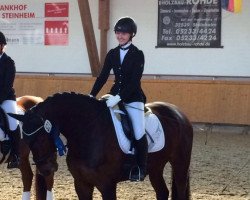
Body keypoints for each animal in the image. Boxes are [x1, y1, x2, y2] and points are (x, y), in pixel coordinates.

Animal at [9, 92, 193, 200]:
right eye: (26, 140)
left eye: (40, 138)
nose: (46, 170)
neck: (87, 131)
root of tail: (178, 113)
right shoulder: (81, 183)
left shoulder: (107, 185)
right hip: (155, 167)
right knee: (162, 192)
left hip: (180, 164)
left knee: (180, 189)